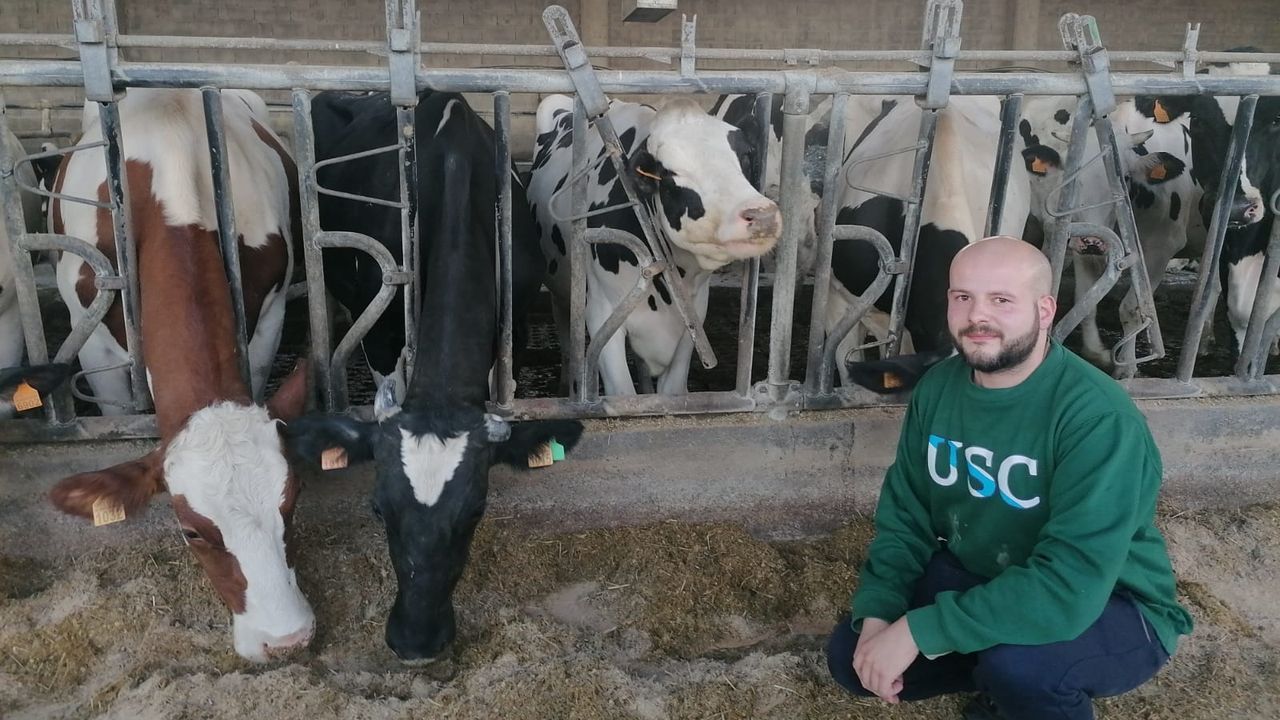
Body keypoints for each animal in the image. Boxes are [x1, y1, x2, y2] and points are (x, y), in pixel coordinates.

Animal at [524, 92, 783, 394]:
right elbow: (623, 393)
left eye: (745, 157)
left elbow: (671, 391)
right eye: (673, 174)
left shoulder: (693, 317)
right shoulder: (601, 312)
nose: (762, 215)